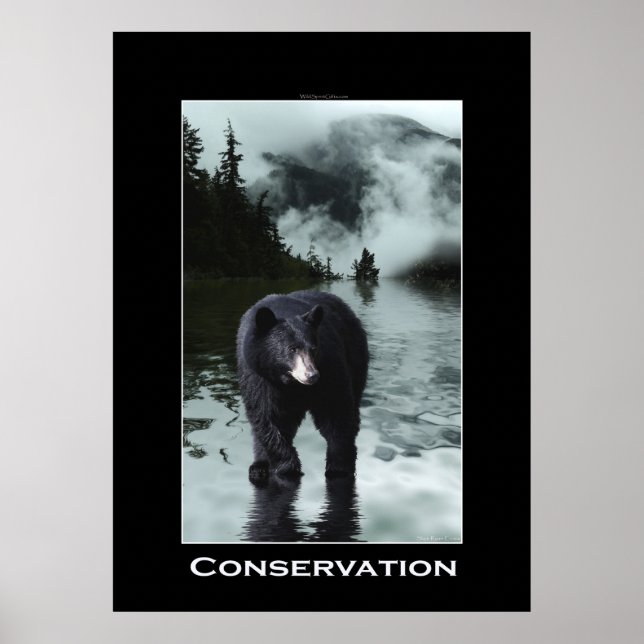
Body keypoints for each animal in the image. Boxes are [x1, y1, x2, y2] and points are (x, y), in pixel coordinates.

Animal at [236, 290, 369, 483]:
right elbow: (268, 417)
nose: (312, 375)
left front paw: (338, 467)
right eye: (292, 349)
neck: (291, 384)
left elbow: (336, 409)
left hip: (355, 355)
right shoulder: (260, 378)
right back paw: (258, 466)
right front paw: (288, 468)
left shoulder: (330, 367)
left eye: (313, 348)